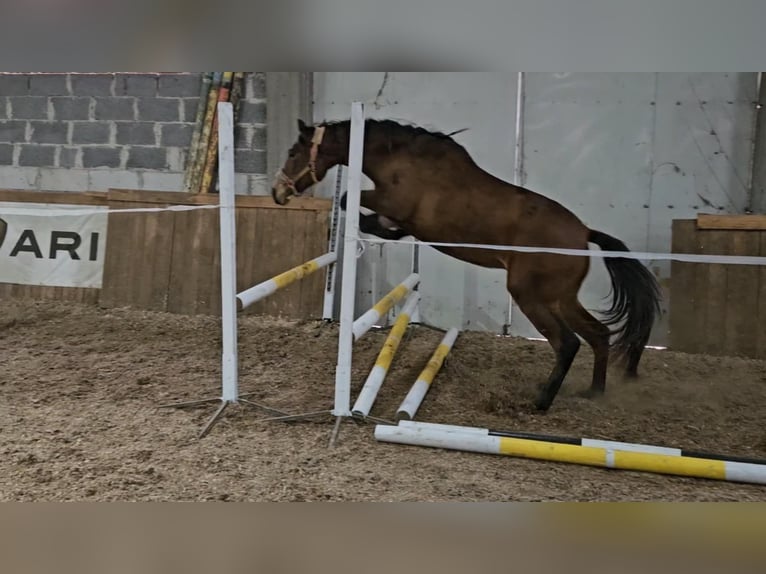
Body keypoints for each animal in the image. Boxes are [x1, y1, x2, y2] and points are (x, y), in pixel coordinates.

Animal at [272, 119, 664, 412]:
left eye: (292, 152)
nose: (278, 193)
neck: (401, 161)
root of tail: (584, 233)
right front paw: (387, 230)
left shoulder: (392, 201)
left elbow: (347, 199)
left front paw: (377, 226)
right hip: (561, 298)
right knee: (598, 333)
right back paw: (594, 392)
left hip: (529, 295)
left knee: (567, 343)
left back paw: (540, 402)